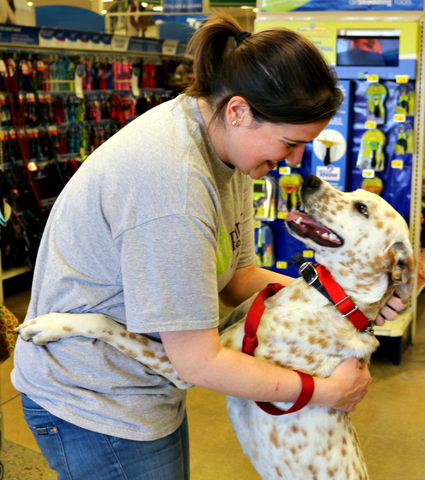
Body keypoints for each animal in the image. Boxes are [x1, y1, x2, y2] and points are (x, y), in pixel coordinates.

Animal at [18, 176, 412, 480]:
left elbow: (107, 325)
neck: (331, 297)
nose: (311, 179)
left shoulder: (185, 367)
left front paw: (48, 325)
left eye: (362, 209)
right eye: (354, 193)